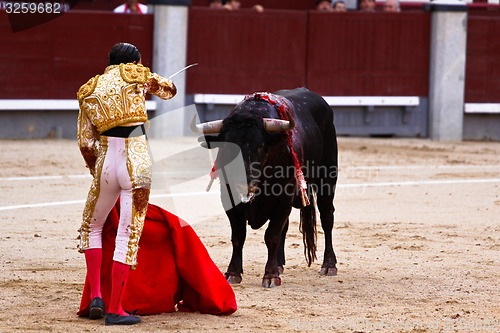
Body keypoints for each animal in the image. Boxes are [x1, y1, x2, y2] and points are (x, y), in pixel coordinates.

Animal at [193, 87, 338, 286]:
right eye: (228, 148)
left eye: (260, 146)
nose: (243, 184)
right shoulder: (229, 199)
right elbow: (238, 236)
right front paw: (233, 273)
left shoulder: (283, 200)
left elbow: (272, 236)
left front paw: (270, 275)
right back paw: (280, 263)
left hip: (328, 178)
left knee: (327, 217)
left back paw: (329, 265)